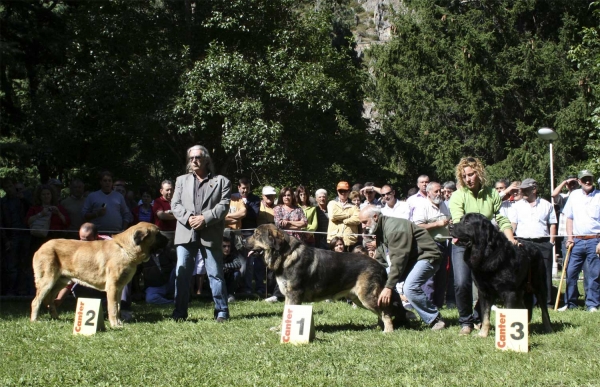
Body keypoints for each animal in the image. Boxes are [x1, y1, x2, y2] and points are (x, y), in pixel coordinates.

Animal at [31, 223, 170, 328]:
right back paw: (35, 320)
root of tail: (41, 247)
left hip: (61, 281)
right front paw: (115, 325)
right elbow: (112, 307)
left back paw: (55, 317)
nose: (169, 239)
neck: (124, 249)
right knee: (36, 301)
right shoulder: (112, 287)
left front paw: (119, 322)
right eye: (158, 234)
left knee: (50, 300)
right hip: (47, 281)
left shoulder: (119, 288)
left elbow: (118, 307)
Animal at [243, 224, 404, 334]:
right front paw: (280, 329)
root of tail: (380, 266)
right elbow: (285, 314)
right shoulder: (289, 296)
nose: (242, 241)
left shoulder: (294, 295)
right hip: (359, 299)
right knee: (381, 312)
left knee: (385, 311)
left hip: (366, 297)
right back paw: (379, 327)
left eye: (256, 235)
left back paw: (388, 330)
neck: (285, 255)